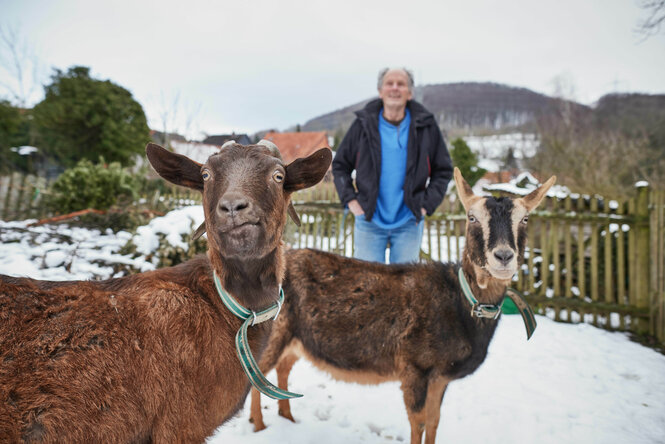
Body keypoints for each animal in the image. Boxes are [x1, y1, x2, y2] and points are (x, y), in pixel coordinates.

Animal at [249, 168, 556, 442]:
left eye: (525, 218)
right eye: (472, 218)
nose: (503, 256)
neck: (460, 306)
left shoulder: (440, 376)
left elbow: (434, 421)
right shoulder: (415, 366)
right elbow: (417, 421)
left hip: (296, 339)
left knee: (282, 369)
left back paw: (286, 417)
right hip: (274, 331)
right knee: (257, 371)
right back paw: (259, 426)